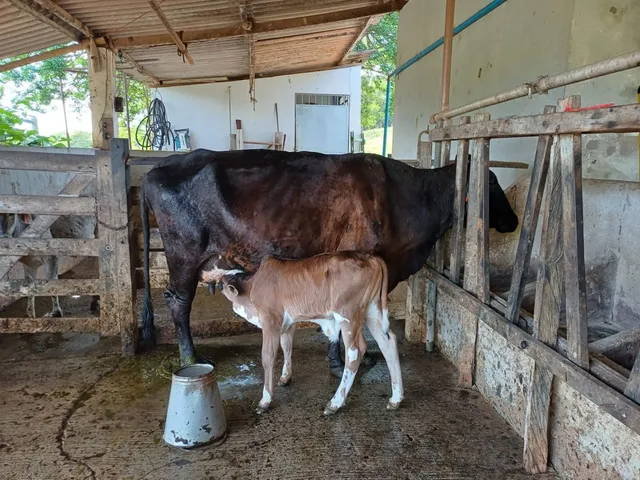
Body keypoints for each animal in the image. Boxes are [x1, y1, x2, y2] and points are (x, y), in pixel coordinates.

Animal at [140, 149, 518, 371]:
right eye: (492, 183)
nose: (514, 221)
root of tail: (160, 167)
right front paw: (345, 361)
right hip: (184, 256)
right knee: (178, 302)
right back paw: (190, 356)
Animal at [219, 251, 402, 415]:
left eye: (221, 284)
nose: (215, 284)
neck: (253, 287)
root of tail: (368, 256)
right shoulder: (288, 323)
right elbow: (287, 346)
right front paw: (285, 377)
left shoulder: (270, 322)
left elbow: (268, 357)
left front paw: (265, 401)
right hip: (372, 310)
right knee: (387, 342)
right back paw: (396, 399)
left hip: (348, 315)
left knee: (354, 352)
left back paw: (335, 403)